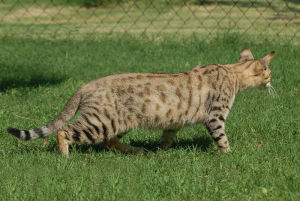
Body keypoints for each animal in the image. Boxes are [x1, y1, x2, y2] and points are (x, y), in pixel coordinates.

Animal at [6, 48, 274, 156]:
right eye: (269, 73)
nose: (273, 84)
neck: (232, 72)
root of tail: (85, 85)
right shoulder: (215, 116)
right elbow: (222, 138)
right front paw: (229, 154)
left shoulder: (174, 121)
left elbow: (167, 138)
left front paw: (161, 150)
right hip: (101, 122)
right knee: (64, 131)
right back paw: (65, 156)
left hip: (118, 123)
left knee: (110, 142)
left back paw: (138, 151)